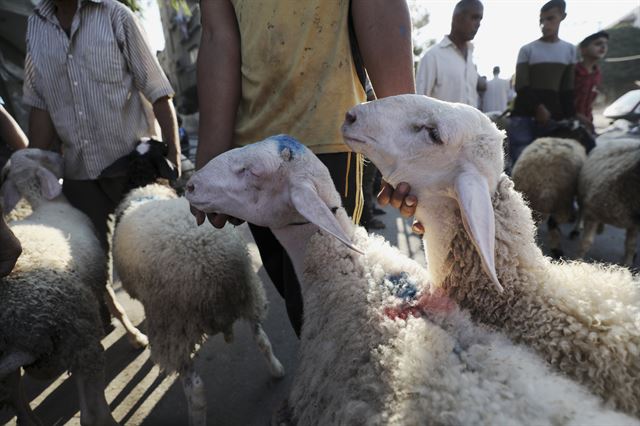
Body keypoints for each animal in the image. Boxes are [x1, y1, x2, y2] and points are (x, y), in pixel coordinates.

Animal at [0, 149, 119, 426]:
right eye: (39, 154)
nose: (59, 154)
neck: (49, 204)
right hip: (81, 342)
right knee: (93, 414)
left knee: (17, 402)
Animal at [111, 182, 284, 426]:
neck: (146, 197)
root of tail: (213, 267)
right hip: (250, 296)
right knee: (262, 340)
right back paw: (277, 370)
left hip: (173, 329)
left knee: (196, 389)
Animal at [576, 138, 640, 266]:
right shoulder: (592, 213)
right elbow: (585, 243)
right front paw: (577, 262)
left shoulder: (634, 224)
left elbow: (631, 247)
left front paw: (627, 266)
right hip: (582, 193)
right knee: (581, 209)